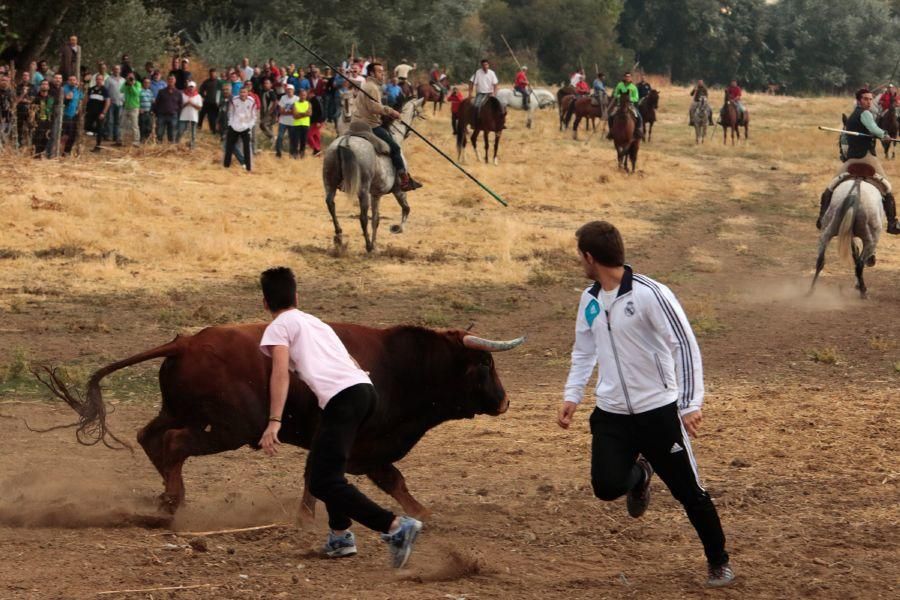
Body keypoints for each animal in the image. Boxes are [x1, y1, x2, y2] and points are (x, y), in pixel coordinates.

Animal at [38, 324, 524, 520]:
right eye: (485, 364)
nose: (504, 401)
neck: (399, 365)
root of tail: (185, 342)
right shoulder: (355, 443)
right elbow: (375, 478)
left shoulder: (353, 447)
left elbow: (386, 481)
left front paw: (423, 513)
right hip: (231, 429)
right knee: (174, 445)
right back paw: (173, 501)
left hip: (180, 410)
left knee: (150, 438)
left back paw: (166, 497)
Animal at [322, 97, 424, 252]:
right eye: (419, 111)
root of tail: (345, 142)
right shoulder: (398, 190)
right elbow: (406, 208)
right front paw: (396, 228)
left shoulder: (376, 194)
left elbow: (376, 219)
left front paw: (376, 244)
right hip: (362, 190)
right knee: (363, 217)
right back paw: (368, 245)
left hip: (329, 182)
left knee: (330, 204)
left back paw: (339, 237)